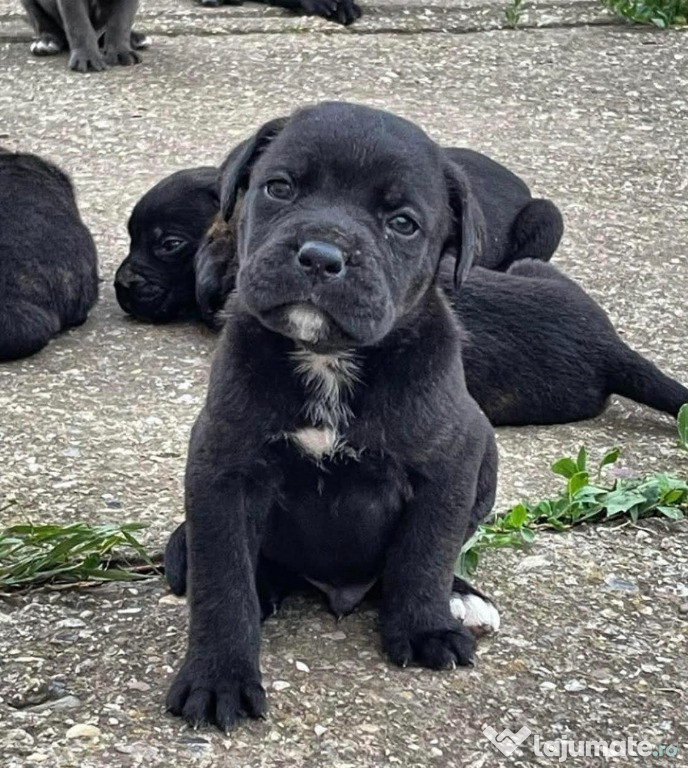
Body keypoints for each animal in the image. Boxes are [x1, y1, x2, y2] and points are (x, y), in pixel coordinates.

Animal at [165, 102, 500, 732]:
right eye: (279, 188)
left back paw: (460, 598)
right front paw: (219, 676)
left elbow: (426, 551)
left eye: (402, 223)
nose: (321, 255)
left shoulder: (450, 462)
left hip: (487, 453)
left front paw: (424, 626)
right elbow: (222, 580)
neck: (328, 358)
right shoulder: (224, 468)